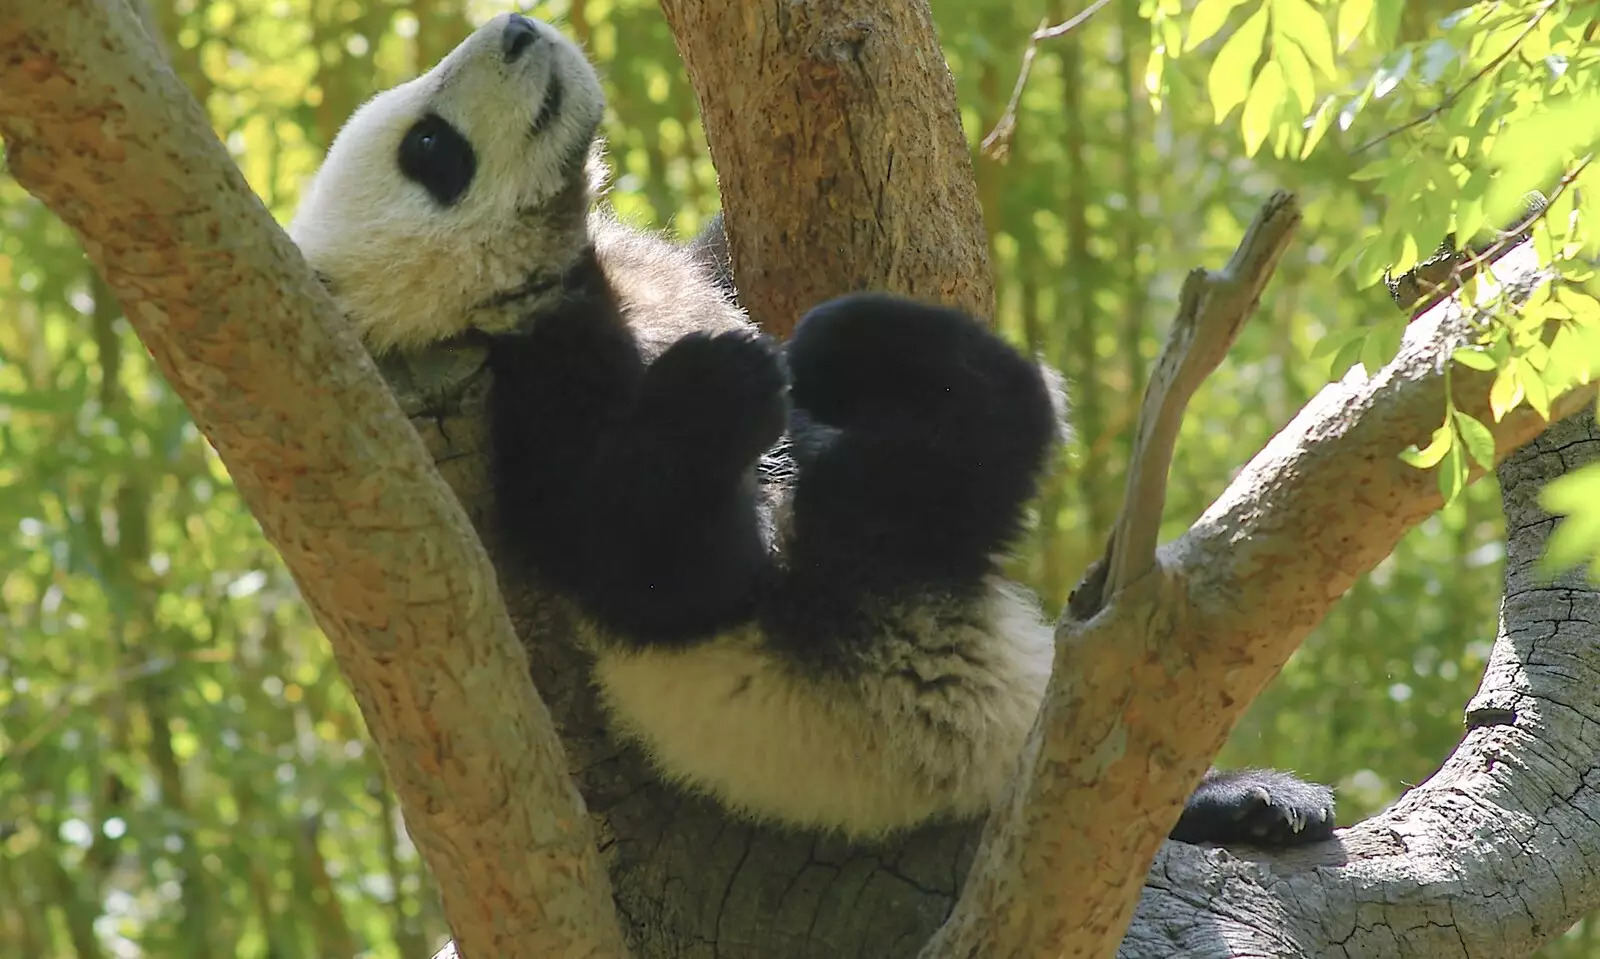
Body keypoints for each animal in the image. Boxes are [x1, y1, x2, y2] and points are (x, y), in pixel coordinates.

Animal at [288, 9, 1337, 845]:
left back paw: (1257, 800)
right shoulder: (527, 388)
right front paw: (725, 381)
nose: (514, 27)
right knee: (922, 472)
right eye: (430, 148)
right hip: (863, 632)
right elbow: (655, 569)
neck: (551, 272)